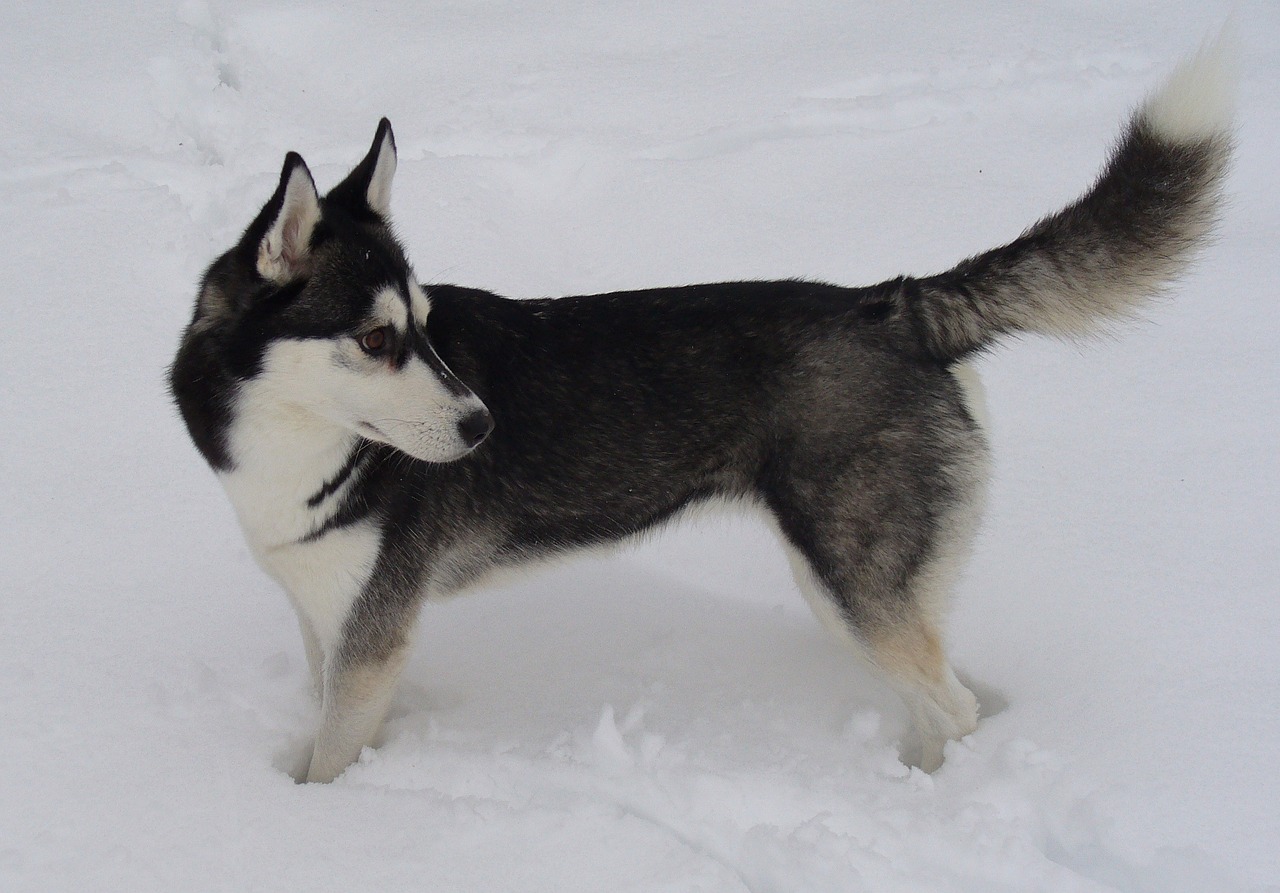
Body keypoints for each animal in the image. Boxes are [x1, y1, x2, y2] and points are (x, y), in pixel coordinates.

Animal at [170, 45, 1228, 777]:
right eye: (376, 338)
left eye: (424, 329)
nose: (482, 427)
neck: (297, 443)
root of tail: (895, 302)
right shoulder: (328, 621)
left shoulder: (372, 635)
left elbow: (326, 764)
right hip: (849, 581)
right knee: (944, 703)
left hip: (852, 581)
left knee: (955, 706)